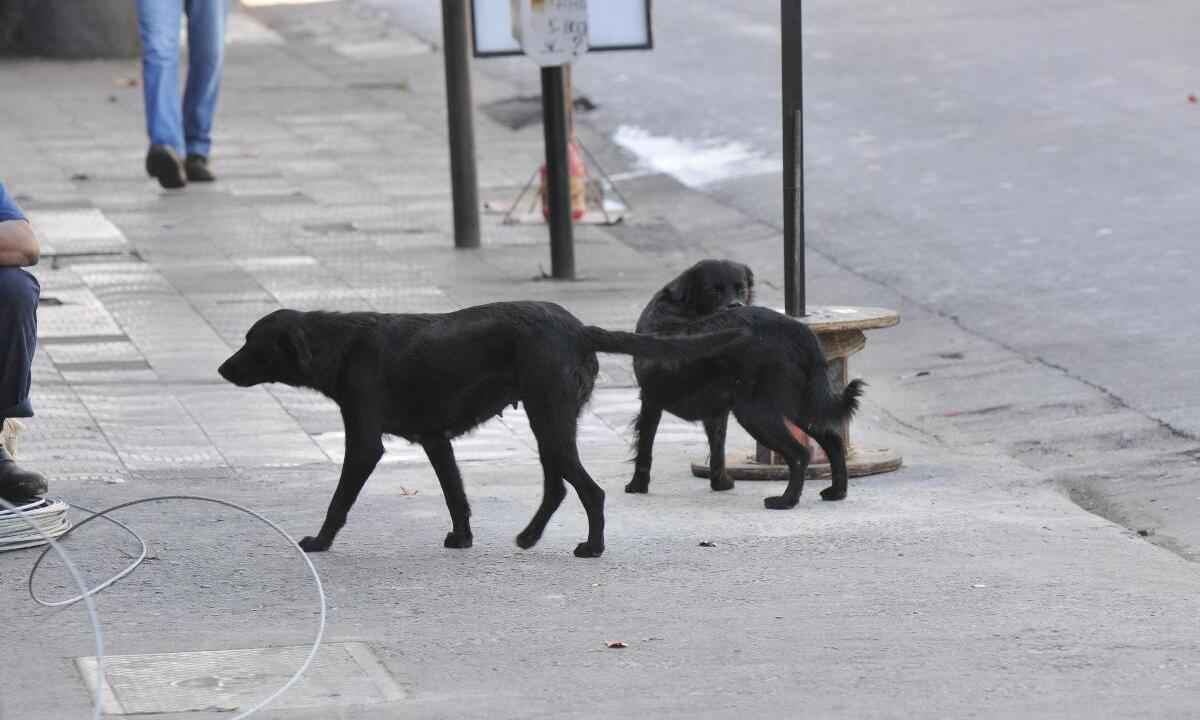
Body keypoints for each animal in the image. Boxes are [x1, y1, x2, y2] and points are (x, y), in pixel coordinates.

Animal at [214, 301, 739, 559]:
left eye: (253, 343)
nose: (221, 369)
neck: (341, 345)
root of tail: (578, 328)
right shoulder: (435, 440)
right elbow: (455, 495)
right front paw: (462, 538)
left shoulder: (364, 443)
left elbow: (339, 500)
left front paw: (320, 543)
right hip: (549, 422)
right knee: (557, 488)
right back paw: (529, 537)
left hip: (549, 420)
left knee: (589, 490)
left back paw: (592, 547)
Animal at [628, 261, 864, 508]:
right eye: (713, 290)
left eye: (740, 288)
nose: (736, 304)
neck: (682, 307)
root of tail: (797, 329)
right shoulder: (715, 411)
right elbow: (717, 448)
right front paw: (720, 483)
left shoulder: (650, 400)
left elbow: (644, 446)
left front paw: (637, 486)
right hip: (798, 403)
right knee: (832, 440)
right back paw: (837, 491)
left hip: (754, 411)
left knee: (799, 454)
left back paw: (786, 500)